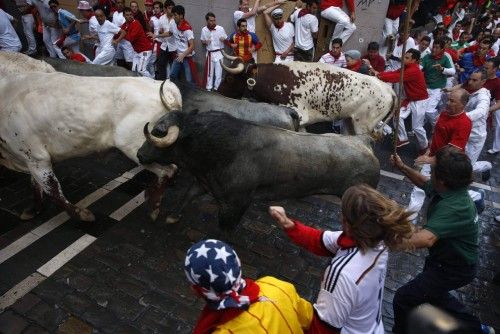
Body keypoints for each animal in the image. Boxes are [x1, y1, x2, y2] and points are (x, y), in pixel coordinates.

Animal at [0, 72, 180, 220]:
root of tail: (164, 86)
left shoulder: (36, 157)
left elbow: (52, 190)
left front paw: (82, 214)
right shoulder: (30, 158)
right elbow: (37, 185)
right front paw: (34, 210)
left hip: (137, 149)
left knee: (168, 170)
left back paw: (153, 207)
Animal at [137, 111, 378, 228]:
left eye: (158, 131)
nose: (139, 154)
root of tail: (364, 141)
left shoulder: (237, 202)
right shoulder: (204, 182)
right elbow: (186, 196)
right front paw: (172, 217)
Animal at [217, 56, 396, 135]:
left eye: (229, 78)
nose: (219, 93)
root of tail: (388, 89)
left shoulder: (299, 114)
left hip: (363, 126)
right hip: (349, 122)